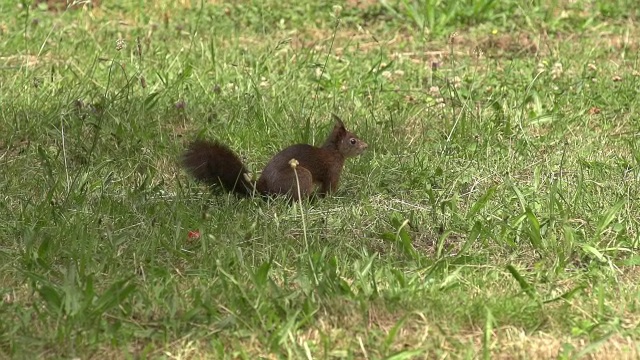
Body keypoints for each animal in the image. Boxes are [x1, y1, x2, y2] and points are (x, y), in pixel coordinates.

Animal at [182, 114, 368, 201]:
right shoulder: (332, 170)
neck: (334, 152)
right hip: (302, 176)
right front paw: (336, 197)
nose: (366, 146)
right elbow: (329, 189)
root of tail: (264, 188)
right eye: (353, 141)